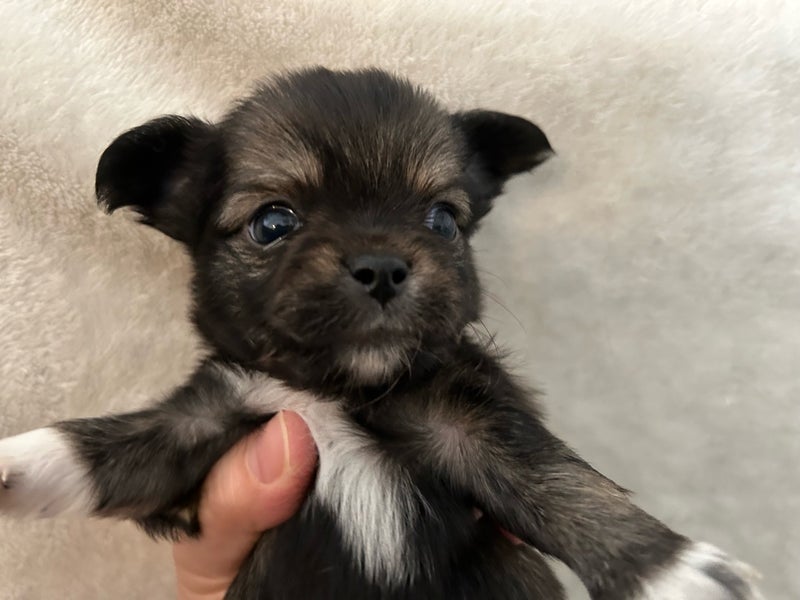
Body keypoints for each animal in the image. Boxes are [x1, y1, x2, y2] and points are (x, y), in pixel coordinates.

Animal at [0, 67, 763, 599]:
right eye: (272, 222)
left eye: (443, 219)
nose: (383, 265)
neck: (339, 393)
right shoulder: (205, 423)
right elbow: (107, 447)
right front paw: (13, 463)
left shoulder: (468, 419)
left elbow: (559, 481)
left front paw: (669, 569)